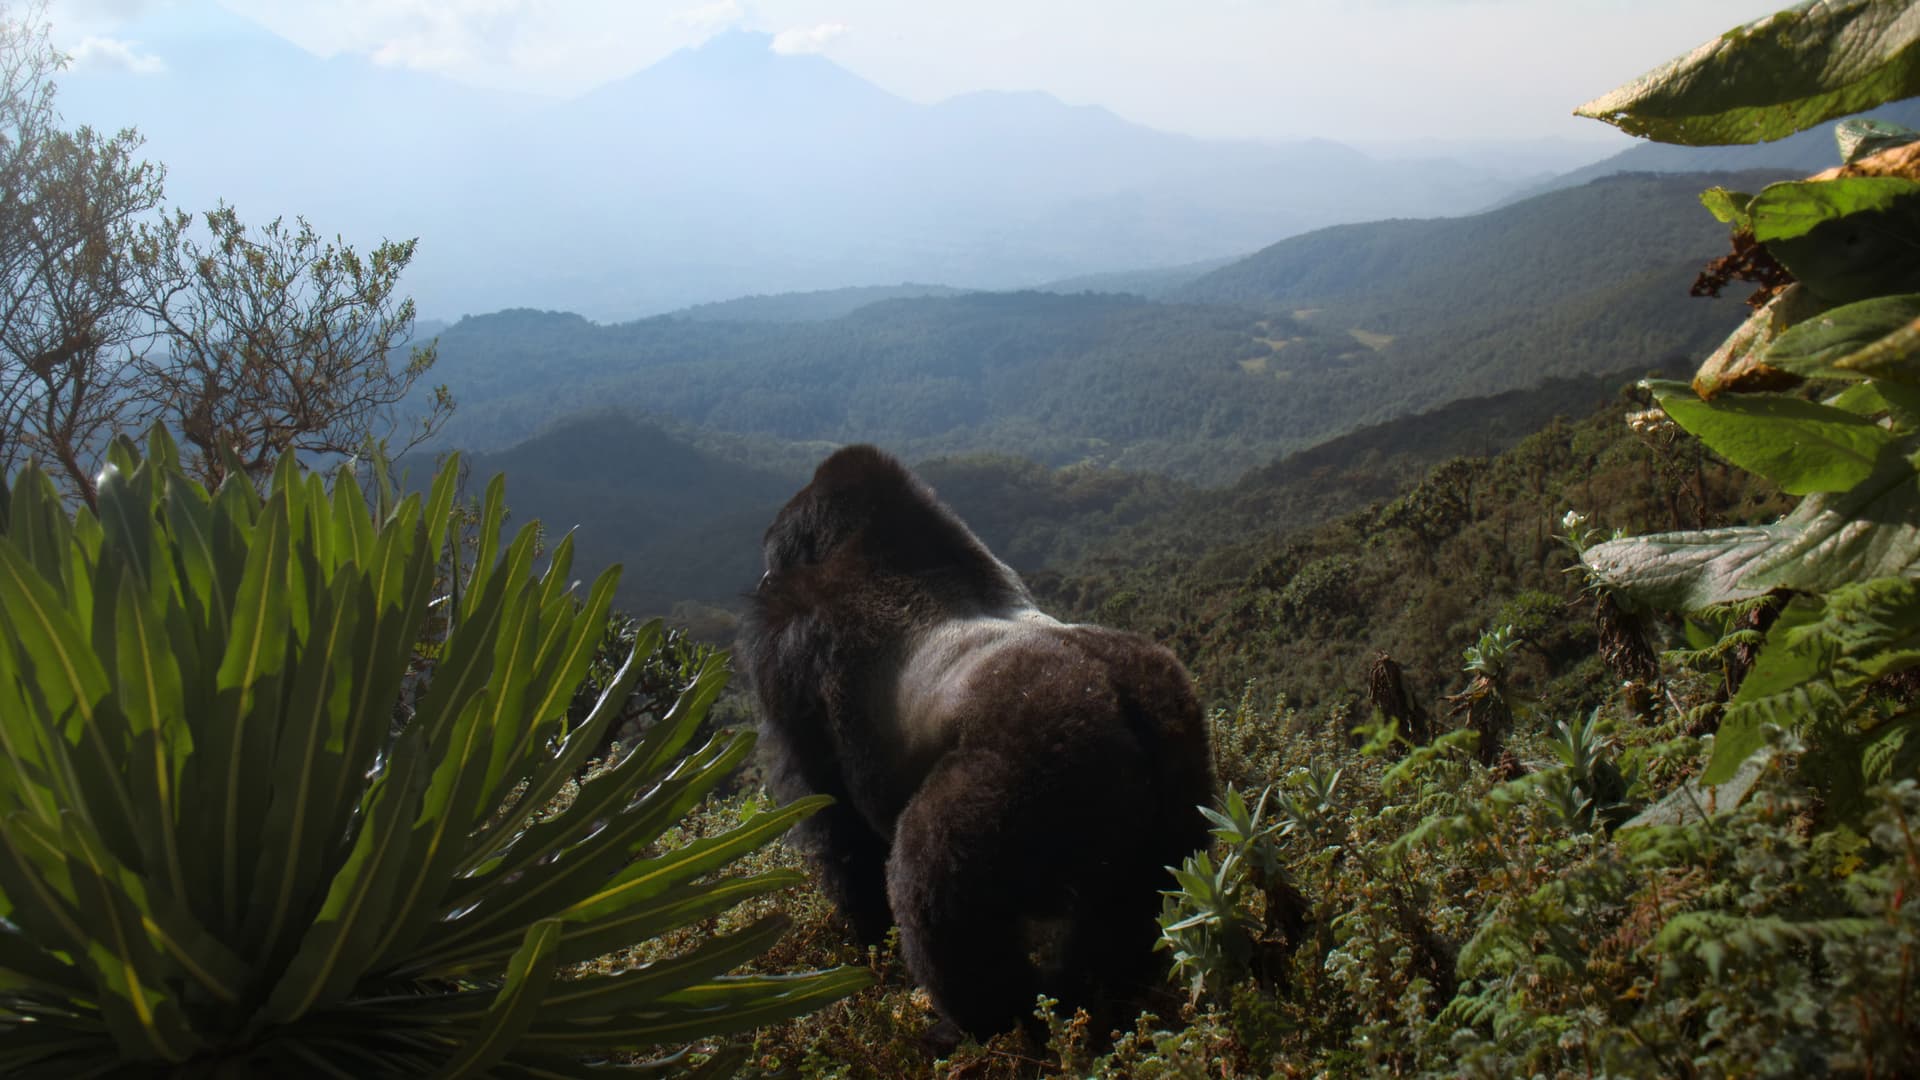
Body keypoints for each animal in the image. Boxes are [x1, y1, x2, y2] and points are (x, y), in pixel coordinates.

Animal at [742, 444, 1214, 1040]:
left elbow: (837, 823)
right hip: (1182, 750)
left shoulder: (789, 646)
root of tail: (1122, 694)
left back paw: (977, 1025)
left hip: (1034, 762)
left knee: (928, 873)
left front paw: (868, 943)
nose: (761, 579)